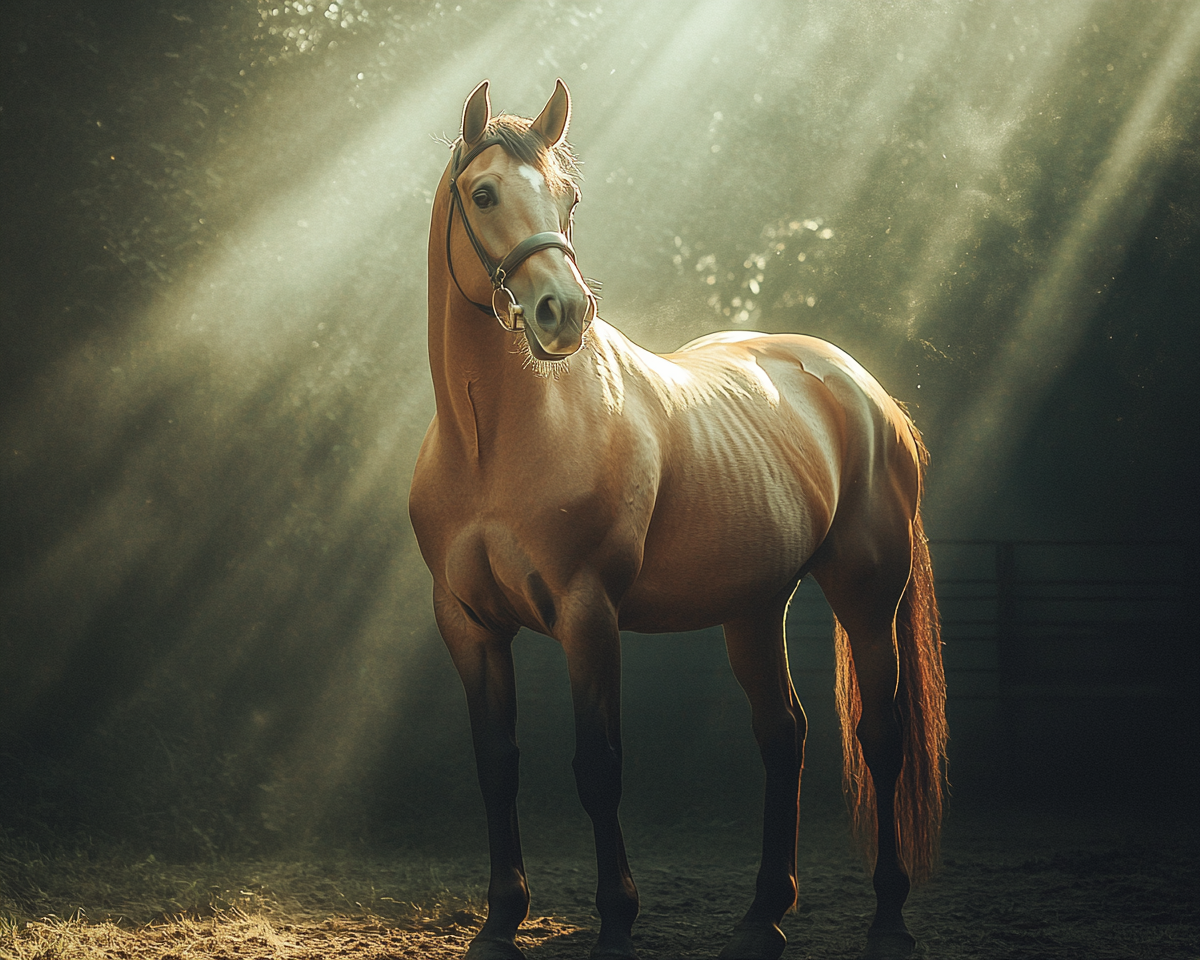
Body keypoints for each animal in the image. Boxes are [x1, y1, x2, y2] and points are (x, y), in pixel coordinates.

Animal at [412, 80, 945, 960]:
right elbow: (496, 765)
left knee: (882, 736)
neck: (493, 443)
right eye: (482, 194)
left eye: (568, 197)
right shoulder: (467, 624)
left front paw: (615, 924)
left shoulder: (588, 616)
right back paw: (762, 916)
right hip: (754, 608)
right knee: (783, 733)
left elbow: (599, 768)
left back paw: (891, 919)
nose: (563, 314)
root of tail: (863, 390)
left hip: (869, 598)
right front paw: (498, 923)